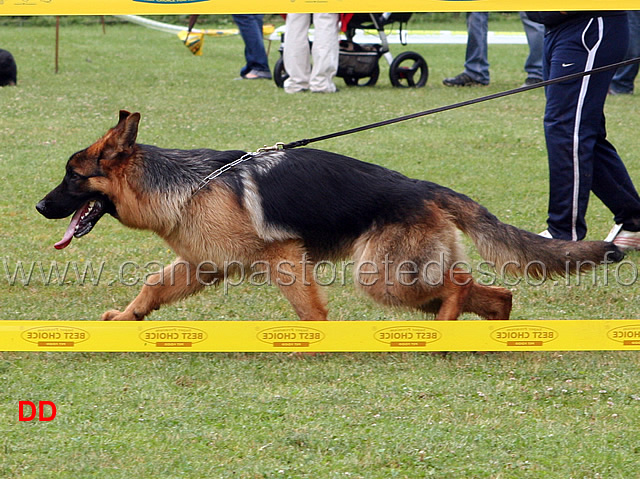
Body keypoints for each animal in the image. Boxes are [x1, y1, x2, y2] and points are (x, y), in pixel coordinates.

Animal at [36, 111, 624, 322]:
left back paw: (449, 323)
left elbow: (309, 310)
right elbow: (154, 286)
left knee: (458, 285)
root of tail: (423, 187)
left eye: (71, 176)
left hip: (382, 276)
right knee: (494, 292)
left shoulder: (284, 259)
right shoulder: (205, 265)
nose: (40, 206)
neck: (186, 184)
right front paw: (126, 319)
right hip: (401, 278)